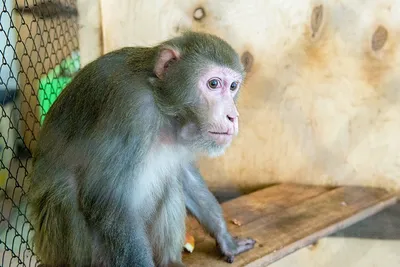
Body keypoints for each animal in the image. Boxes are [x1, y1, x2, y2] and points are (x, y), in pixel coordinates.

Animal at [28, 30, 255, 266]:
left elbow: (185, 175)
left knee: (171, 182)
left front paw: (226, 239)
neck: (161, 106)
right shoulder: (131, 108)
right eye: (214, 83)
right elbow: (110, 205)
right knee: (64, 193)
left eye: (233, 87)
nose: (232, 116)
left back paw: (170, 262)